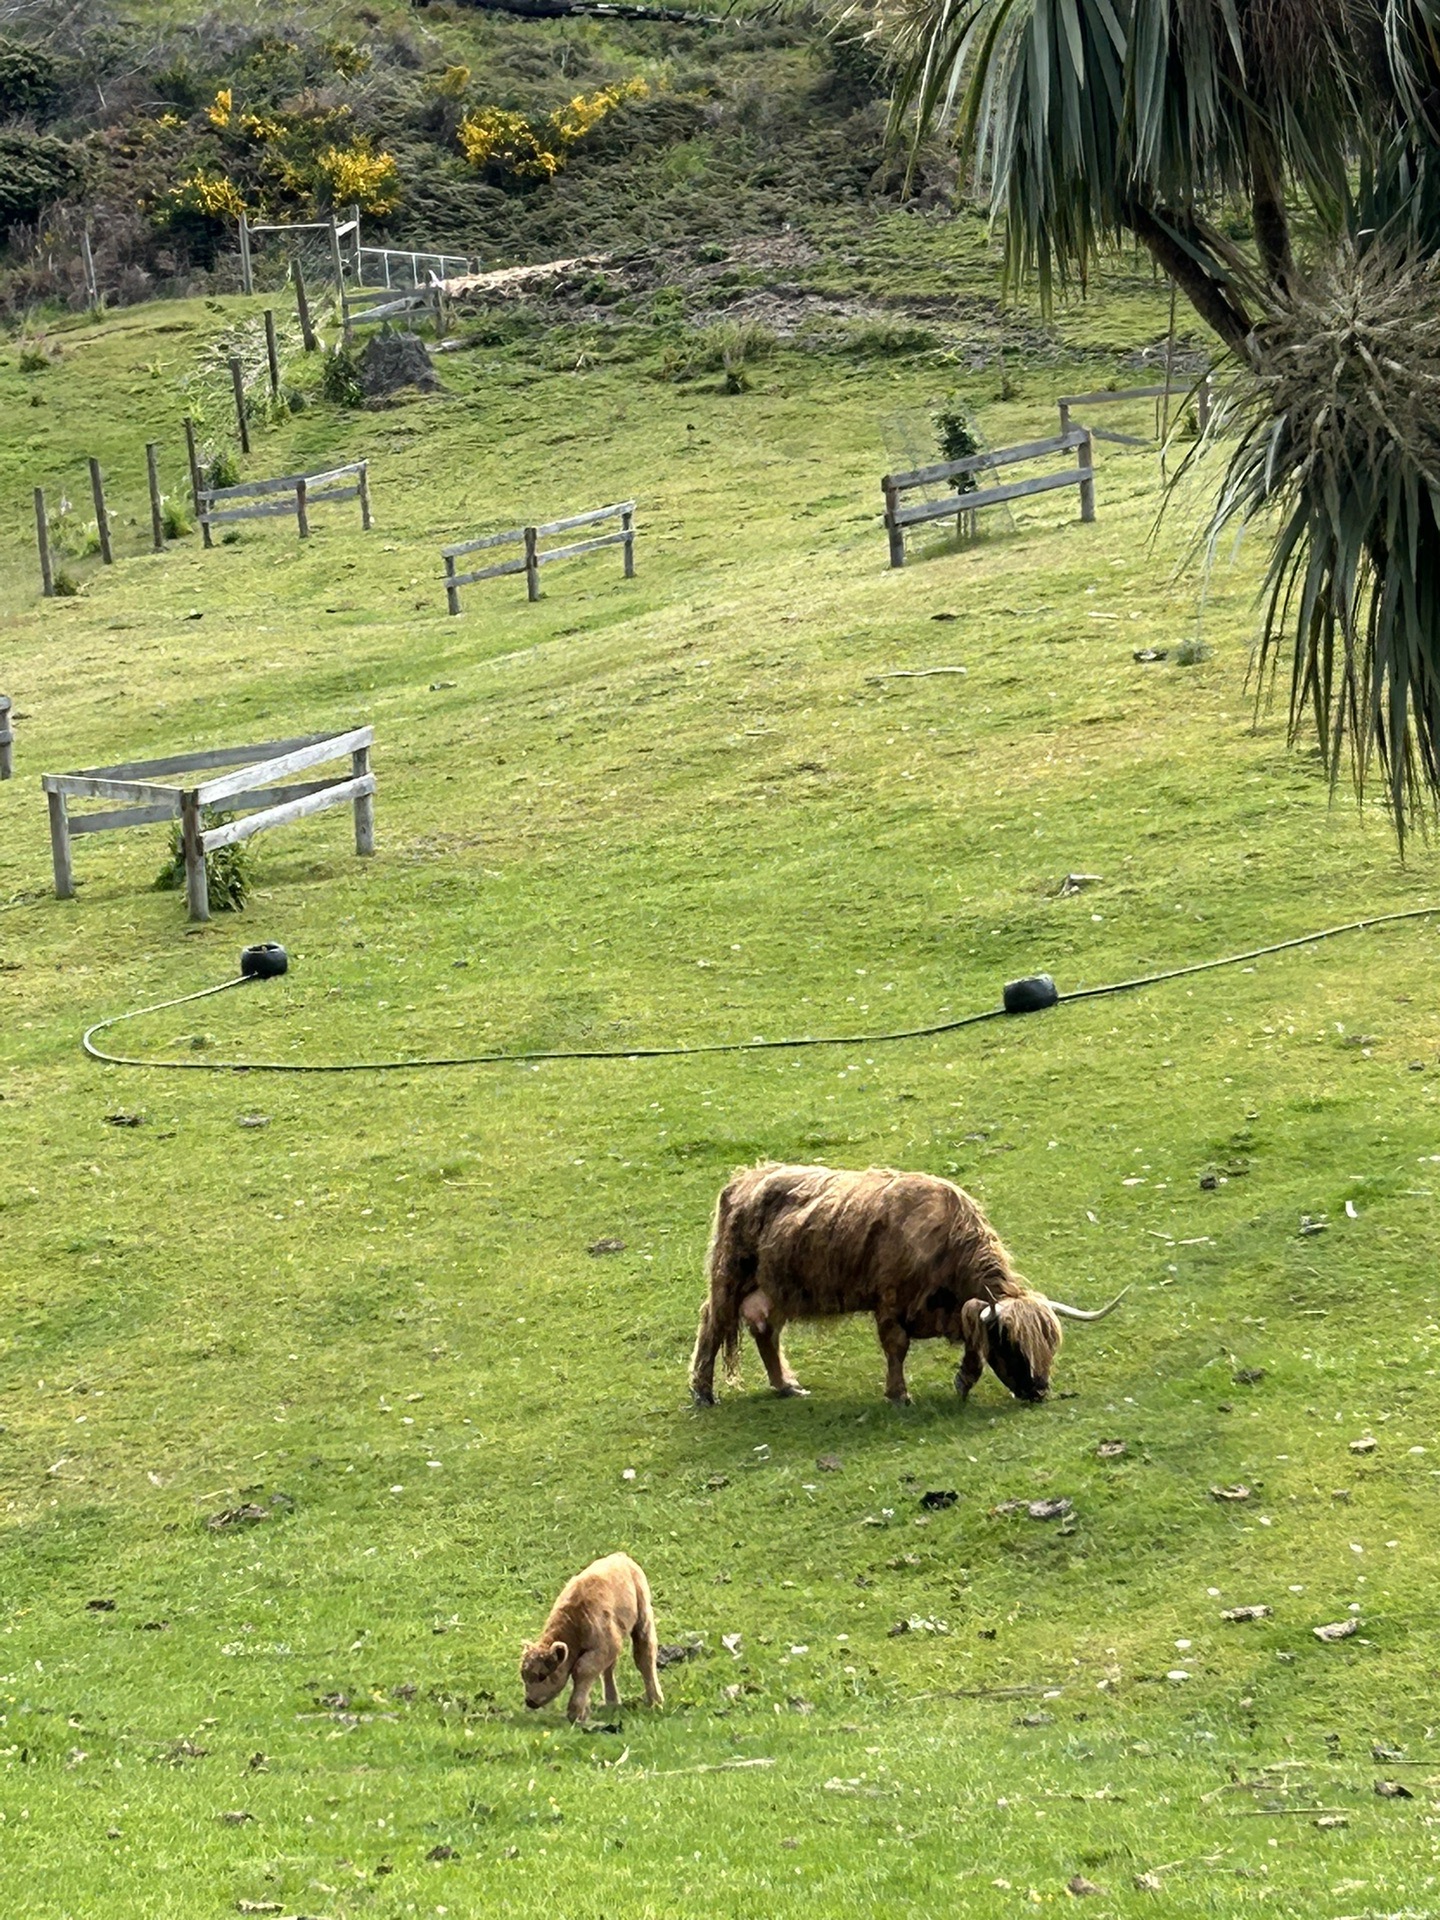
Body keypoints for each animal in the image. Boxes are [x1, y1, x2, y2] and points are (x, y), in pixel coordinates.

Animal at [518, 1543, 664, 1728]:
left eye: (542, 1675)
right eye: (524, 1675)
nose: (530, 1701)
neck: (575, 1619)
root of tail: (621, 1557)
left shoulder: (604, 1646)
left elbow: (582, 1670)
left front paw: (575, 1713)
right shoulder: (605, 1648)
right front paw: (583, 1711)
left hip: (643, 1618)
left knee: (645, 1656)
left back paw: (655, 1700)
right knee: (609, 1669)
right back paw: (612, 1702)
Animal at [687, 1152, 1128, 1413]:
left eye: (1048, 1346)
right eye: (1013, 1344)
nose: (1038, 1391)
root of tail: (747, 1177)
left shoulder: (956, 1310)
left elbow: (972, 1337)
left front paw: (963, 1380)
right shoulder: (890, 1303)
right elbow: (896, 1348)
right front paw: (899, 1394)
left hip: (776, 1290)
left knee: (766, 1333)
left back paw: (786, 1386)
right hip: (729, 1279)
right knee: (712, 1325)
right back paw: (704, 1393)